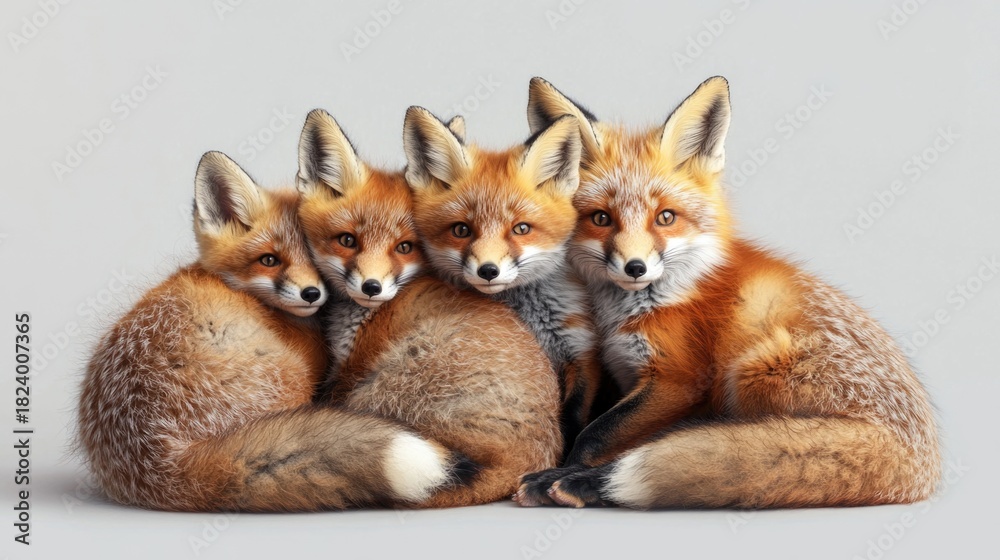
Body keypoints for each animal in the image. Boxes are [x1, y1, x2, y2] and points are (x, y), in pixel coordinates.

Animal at [295, 109, 562, 507]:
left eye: (404, 248)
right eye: (347, 240)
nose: (372, 287)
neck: (362, 317)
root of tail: (523, 465)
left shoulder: (354, 367)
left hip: (385, 385)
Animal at [402, 105, 607, 452]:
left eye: (521, 229)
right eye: (461, 230)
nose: (488, 270)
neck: (529, 318)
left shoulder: (581, 355)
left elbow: (573, 425)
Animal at [514, 76, 941, 509]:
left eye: (665, 217)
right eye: (601, 219)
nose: (635, 267)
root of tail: (923, 457)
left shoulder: (678, 379)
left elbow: (596, 433)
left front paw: (565, 473)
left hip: (755, 365)